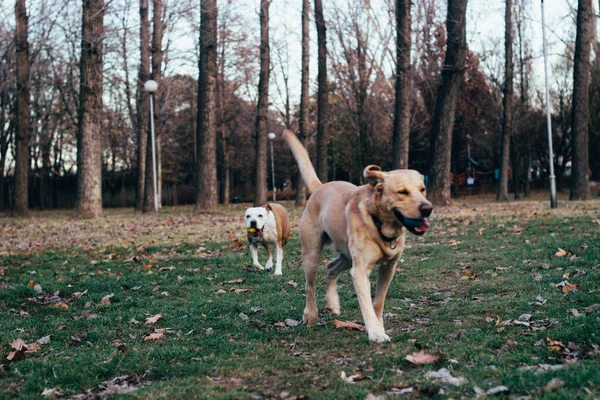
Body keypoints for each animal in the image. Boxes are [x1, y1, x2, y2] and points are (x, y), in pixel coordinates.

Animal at [282, 130, 432, 342]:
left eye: (422, 189)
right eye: (402, 192)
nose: (428, 209)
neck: (379, 224)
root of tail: (320, 186)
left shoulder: (388, 268)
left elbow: (378, 302)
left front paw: (378, 326)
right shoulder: (360, 271)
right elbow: (366, 304)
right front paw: (376, 332)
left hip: (347, 255)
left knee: (331, 267)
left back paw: (333, 303)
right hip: (312, 253)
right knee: (310, 286)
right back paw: (310, 315)